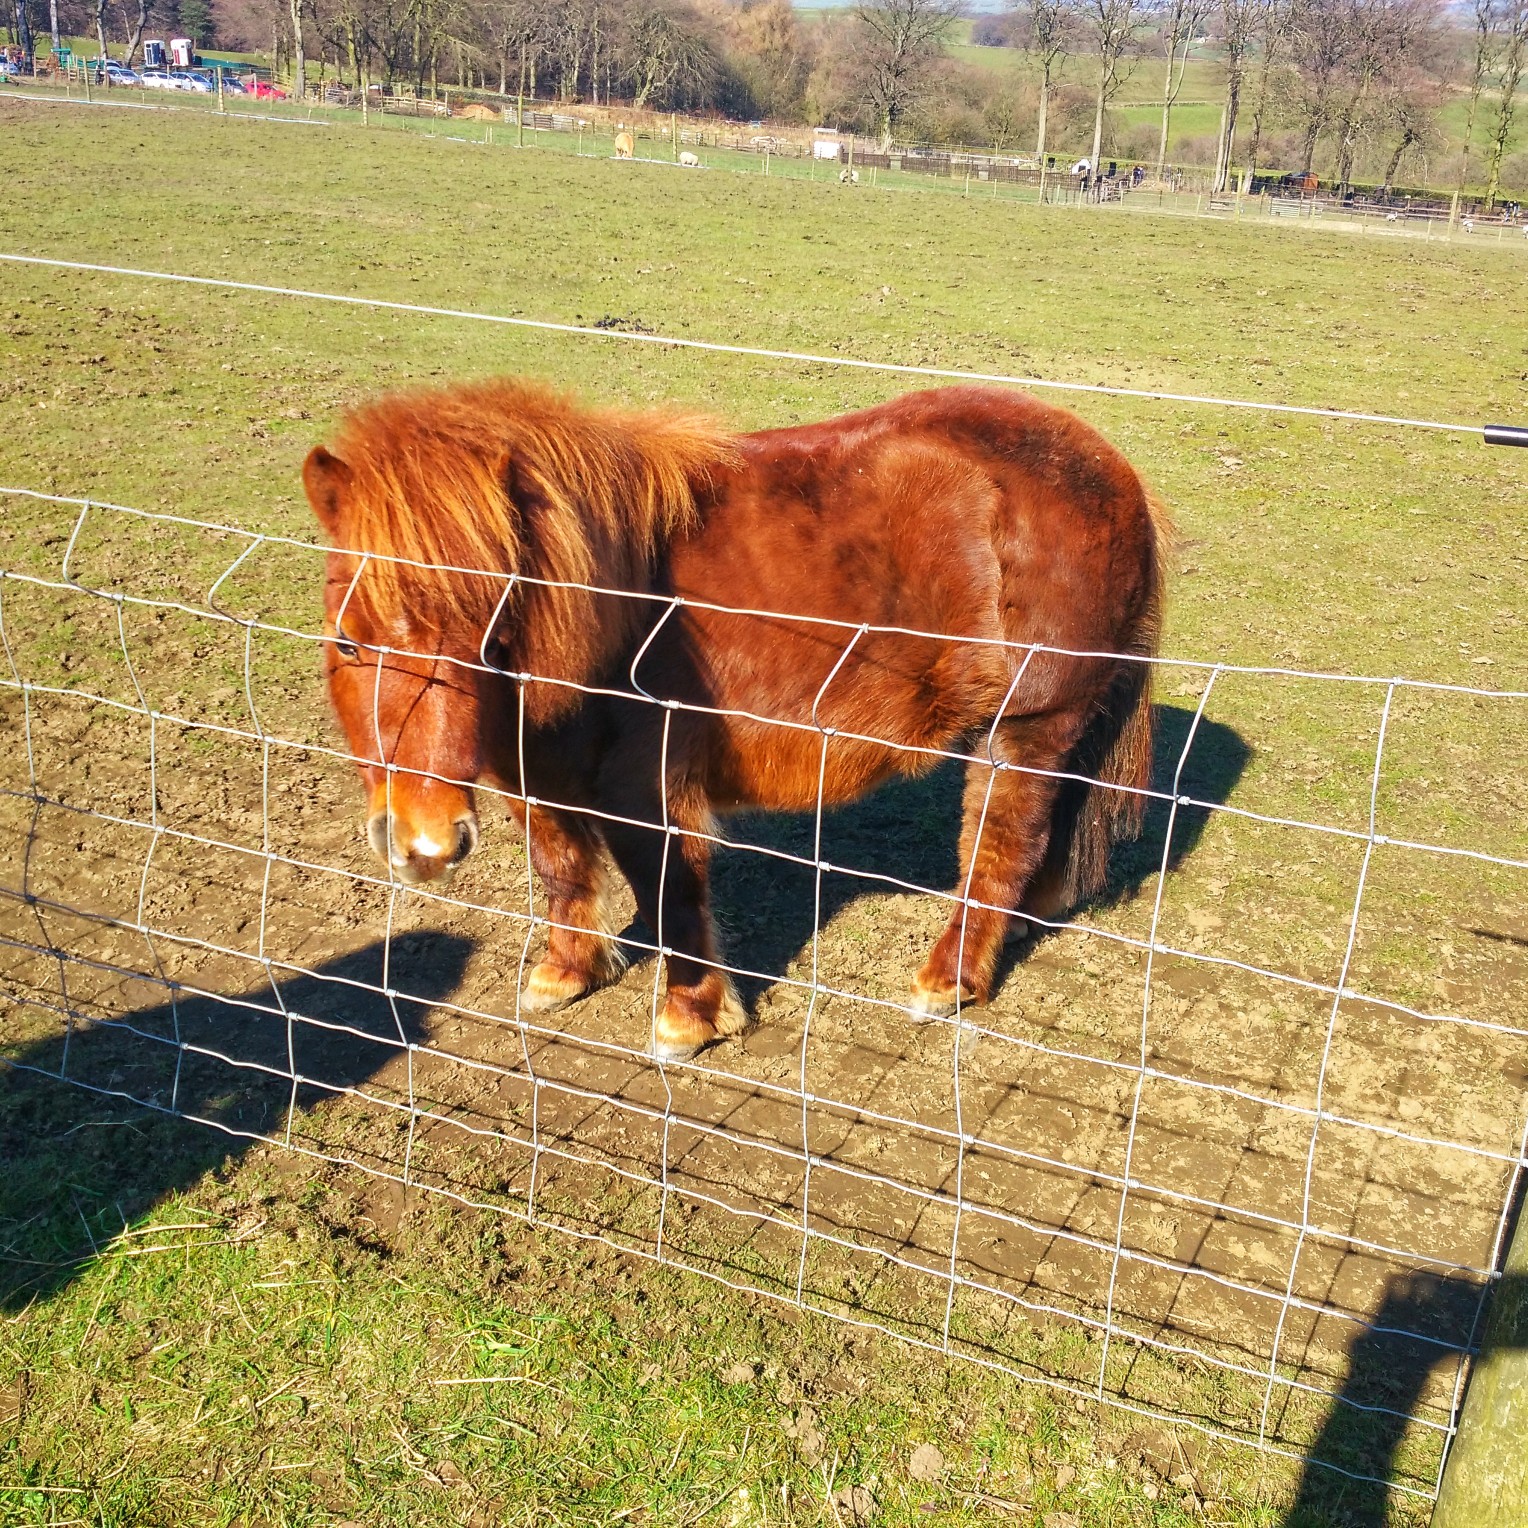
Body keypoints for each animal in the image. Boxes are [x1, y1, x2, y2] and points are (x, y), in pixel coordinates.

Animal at [307, 378, 1167, 1063]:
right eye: (348, 641)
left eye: (486, 636)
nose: (423, 845)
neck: (609, 601)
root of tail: (1114, 471)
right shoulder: (536, 774)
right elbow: (562, 868)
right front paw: (565, 974)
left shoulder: (646, 787)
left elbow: (671, 893)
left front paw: (689, 1021)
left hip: (1028, 727)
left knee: (999, 847)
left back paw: (946, 980)